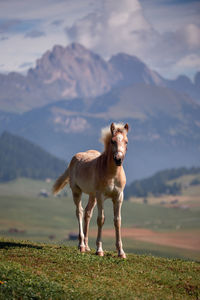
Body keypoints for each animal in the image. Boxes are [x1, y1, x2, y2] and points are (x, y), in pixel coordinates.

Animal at [52, 122, 129, 258]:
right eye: (112, 141)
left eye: (126, 142)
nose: (118, 159)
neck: (112, 174)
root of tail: (74, 158)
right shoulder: (101, 196)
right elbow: (101, 219)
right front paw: (99, 250)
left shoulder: (119, 196)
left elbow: (117, 221)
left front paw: (121, 252)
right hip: (77, 192)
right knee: (79, 212)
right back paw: (81, 246)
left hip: (92, 196)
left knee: (87, 213)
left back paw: (87, 246)